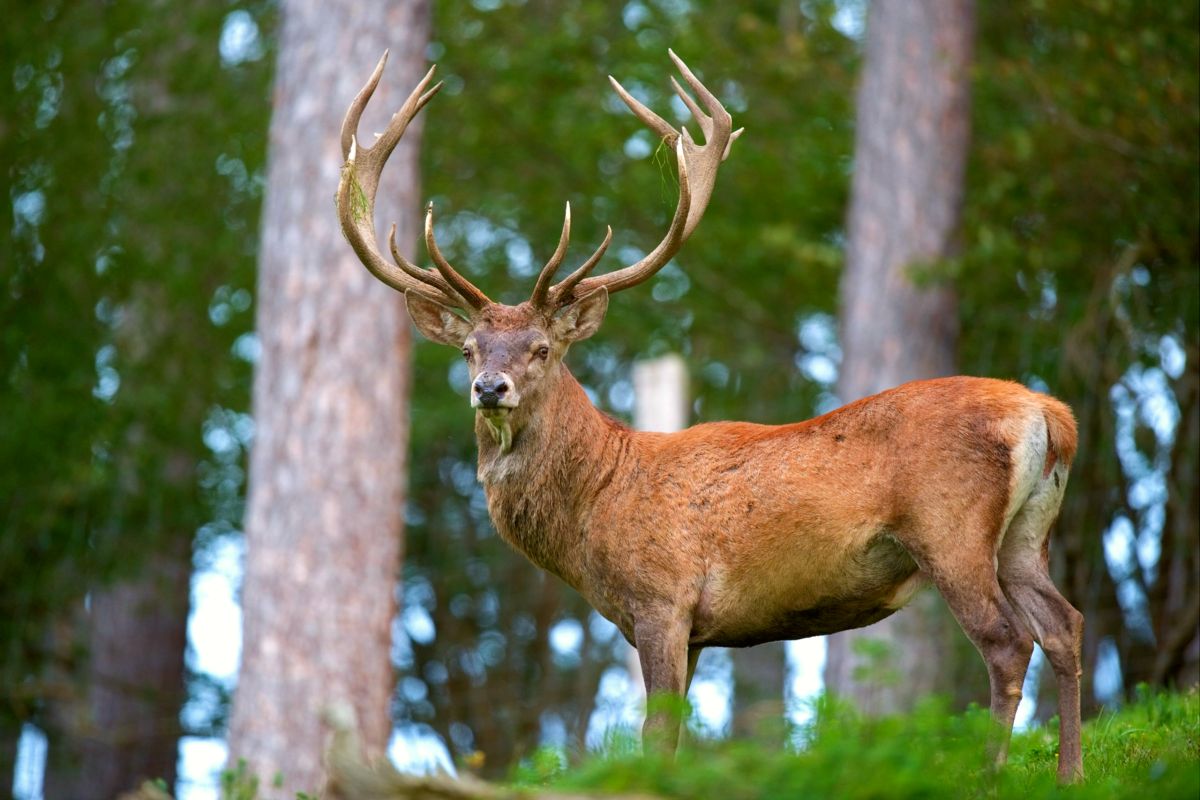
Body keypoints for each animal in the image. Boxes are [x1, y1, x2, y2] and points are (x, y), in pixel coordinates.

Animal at [336, 51, 1085, 782]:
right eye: (468, 349)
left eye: (542, 349)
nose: (490, 388)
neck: (597, 503)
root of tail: (1051, 414)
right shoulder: (693, 629)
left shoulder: (661, 600)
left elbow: (656, 736)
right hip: (1025, 534)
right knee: (1064, 625)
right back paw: (1071, 775)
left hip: (950, 527)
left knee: (1007, 641)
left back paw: (990, 775)